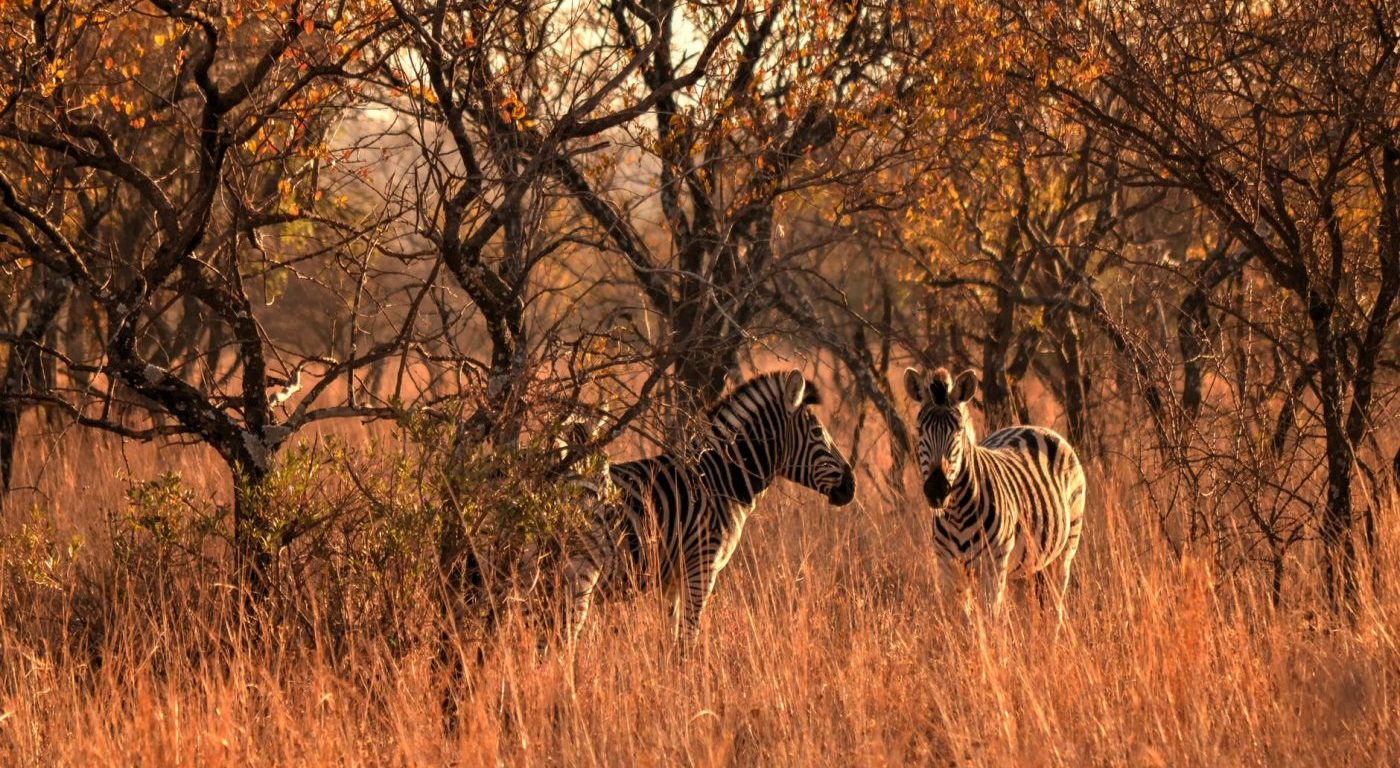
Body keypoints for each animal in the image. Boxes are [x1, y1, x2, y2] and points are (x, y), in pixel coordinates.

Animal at [563, 370, 856, 646]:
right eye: (817, 432)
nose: (851, 486)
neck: (718, 480)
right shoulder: (702, 566)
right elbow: (688, 638)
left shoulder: (672, 579)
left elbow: (672, 637)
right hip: (580, 570)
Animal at [903, 366, 1086, 621]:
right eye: (920, 430)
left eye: (958, 431)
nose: (937, 490)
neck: (956, 513)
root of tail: (1032, 427)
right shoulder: (948, 567)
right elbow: (960, 622)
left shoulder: (993, 567)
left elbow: (990, 620)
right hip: (1023, 568)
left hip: (1065, 550)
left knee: (1054, 612)